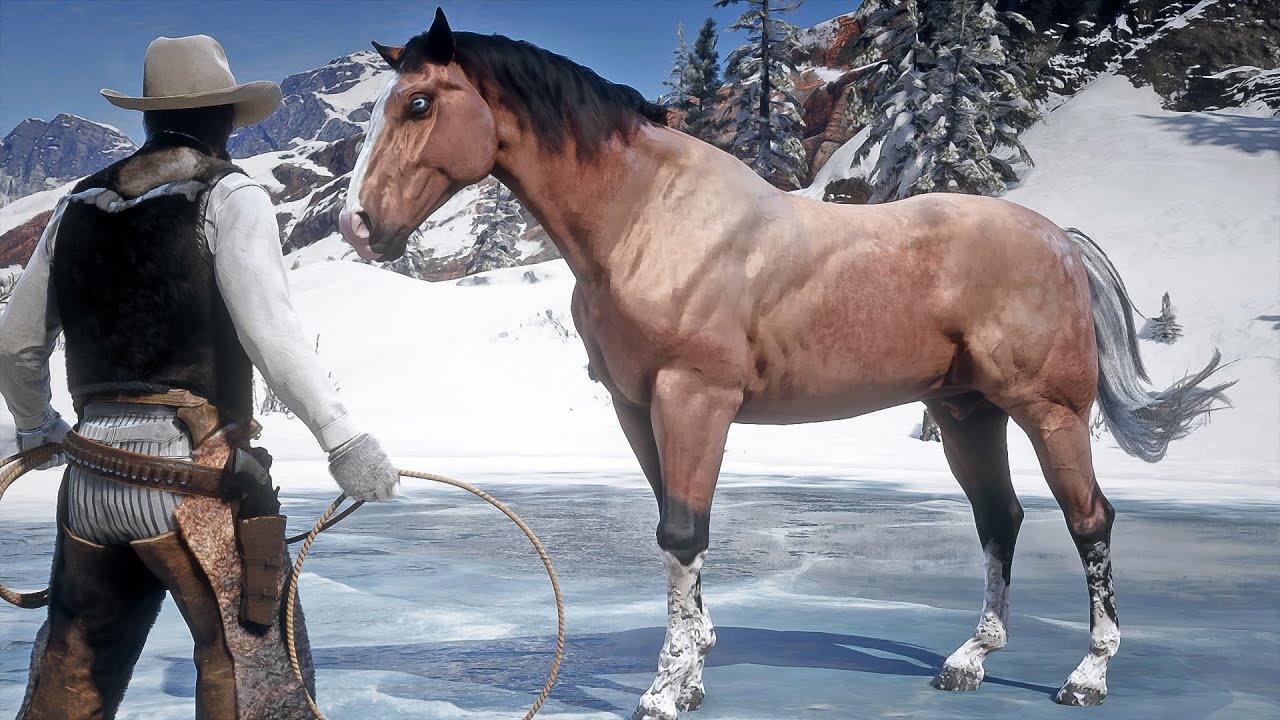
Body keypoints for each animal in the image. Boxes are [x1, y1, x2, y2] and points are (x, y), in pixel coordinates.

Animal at [338, 9, 1232, 718]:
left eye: (418, 102)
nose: (356, 225)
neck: (648, 219)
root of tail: (1057, 239)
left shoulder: (695, 398)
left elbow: (682, 530)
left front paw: (665, 690)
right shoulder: (638, 407)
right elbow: (677, 528)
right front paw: (694, 672)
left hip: (1048, 411)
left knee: (1090, 522)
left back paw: (1087, 675)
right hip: (965, 412)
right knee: (998, 519)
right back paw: (969, 661)